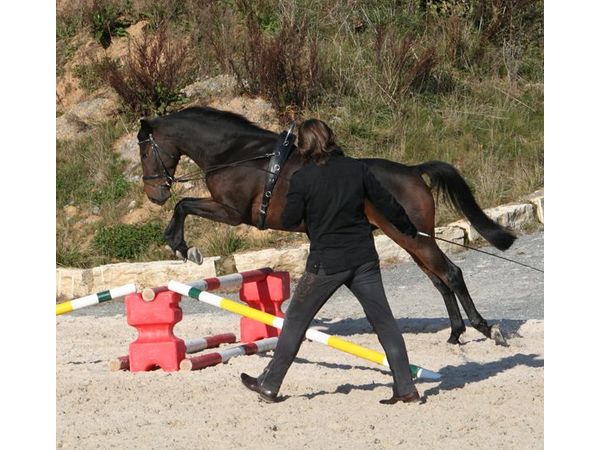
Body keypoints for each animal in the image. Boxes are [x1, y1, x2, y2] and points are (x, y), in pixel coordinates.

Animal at [137, 105, 516, 344]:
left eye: (143, 152)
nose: (155, 194)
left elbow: (185, 205)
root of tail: (412, 171)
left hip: (415, 238)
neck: (235, 153)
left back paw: (486, 329)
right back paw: (455, 333)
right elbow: (185, 205)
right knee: (439, 281)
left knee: (451, 274)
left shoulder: (232, 212)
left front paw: (183, 247)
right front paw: (182, 246)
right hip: (408, 238)